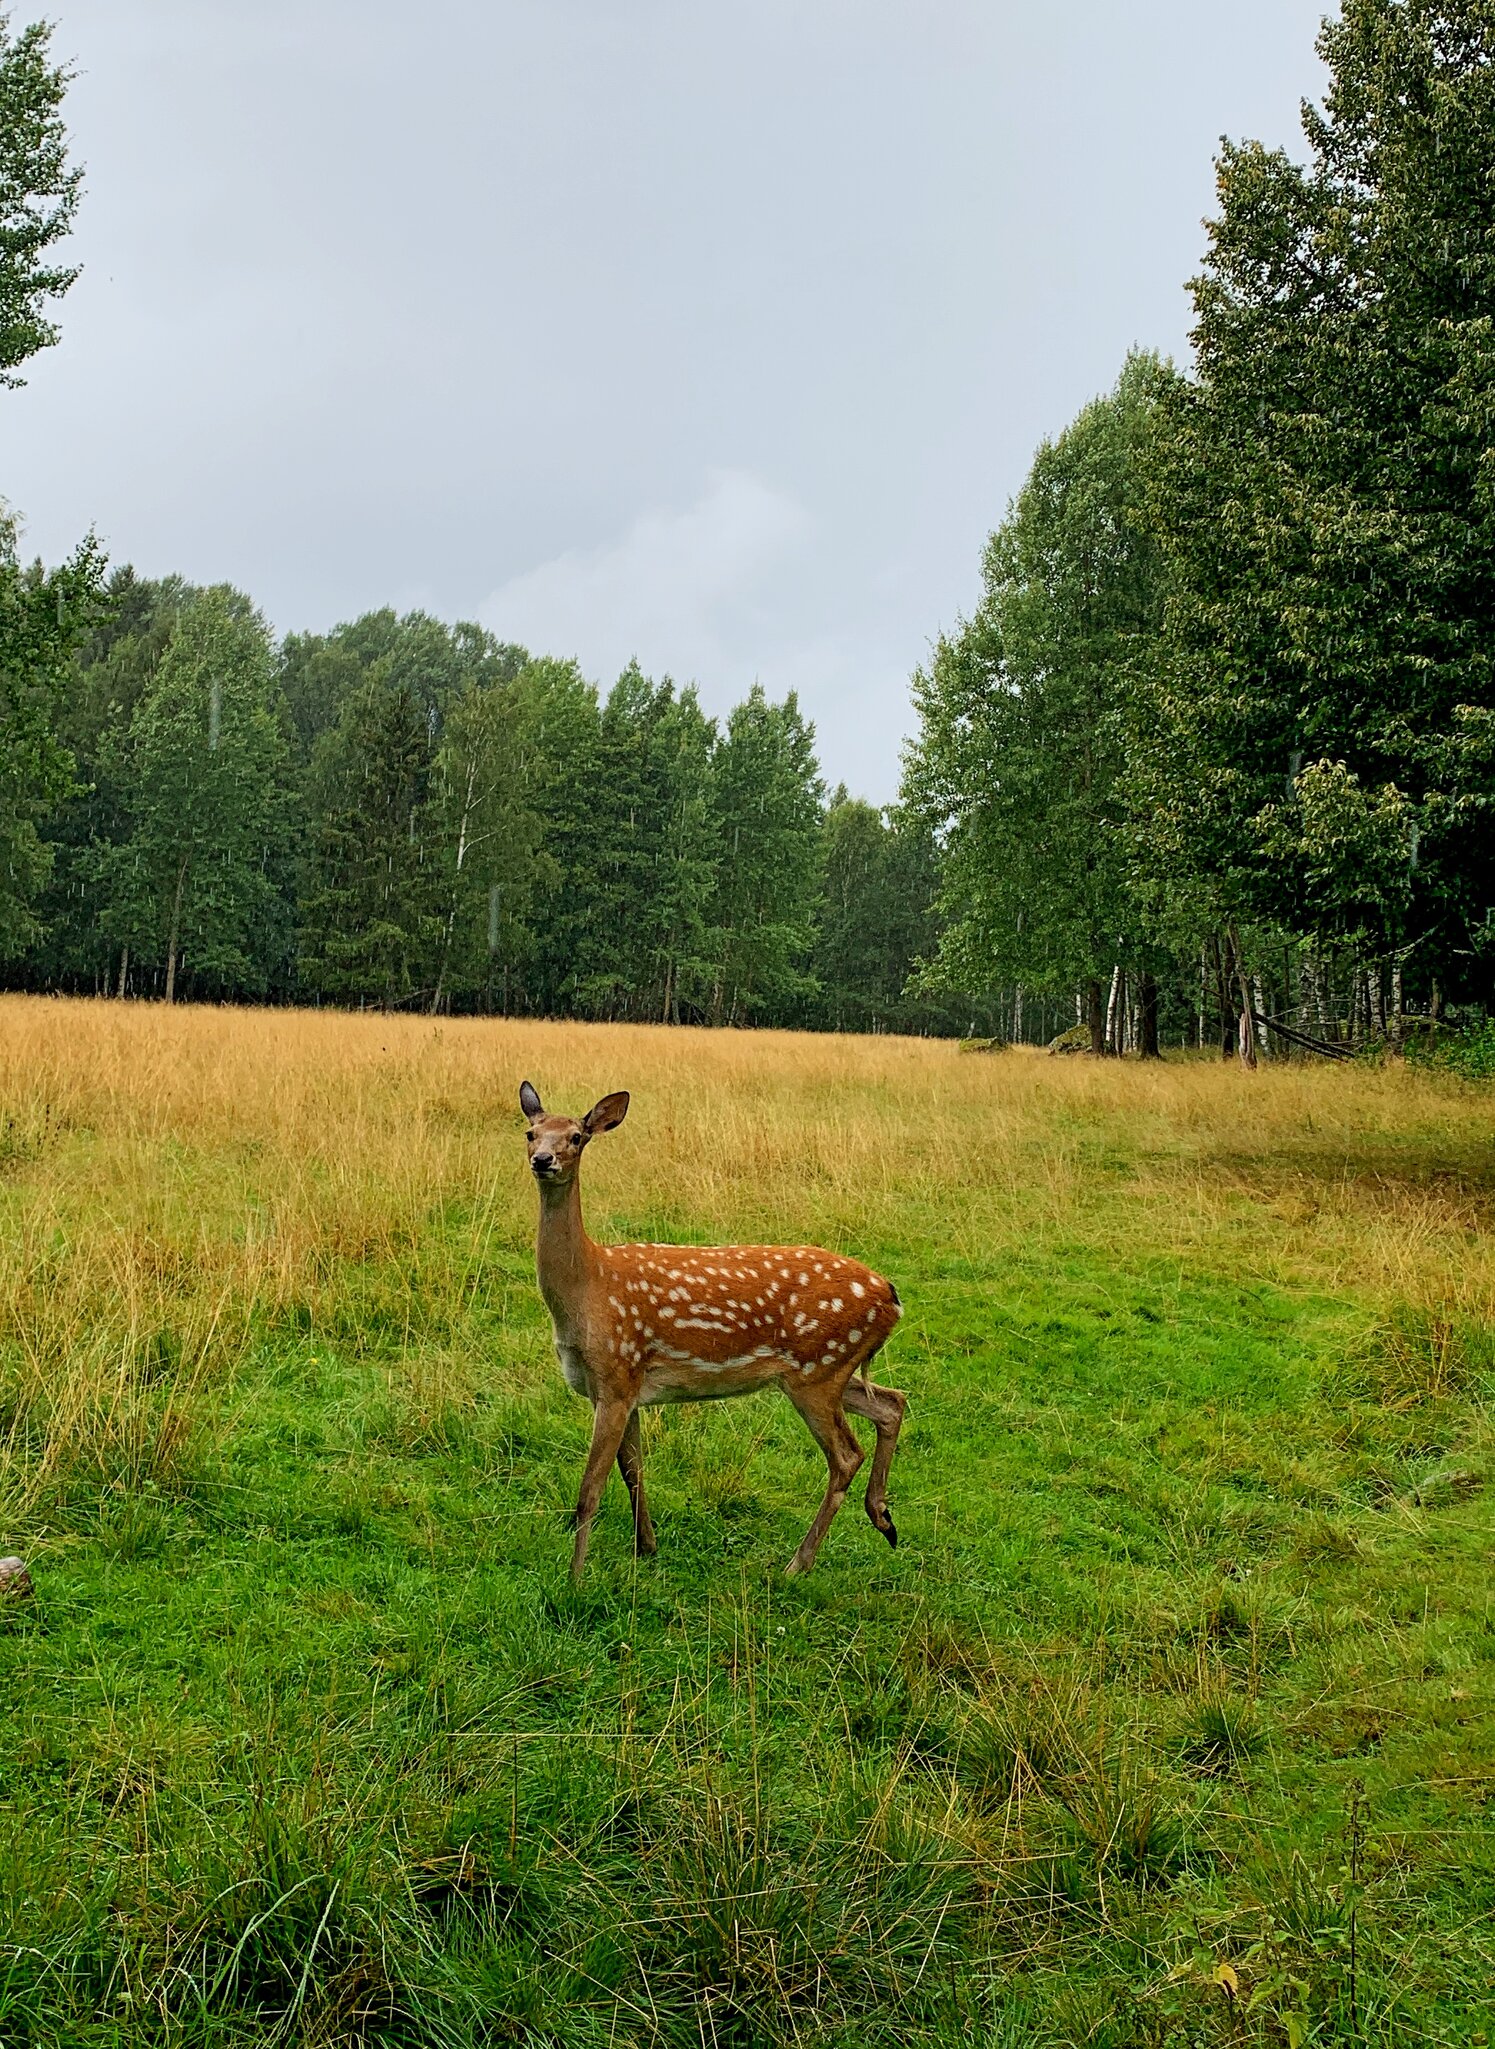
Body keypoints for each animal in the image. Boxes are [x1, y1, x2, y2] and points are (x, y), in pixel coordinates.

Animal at [520, 1081, 907, 1580]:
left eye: (576, 1136)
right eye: (530, 1132)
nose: (542, 1159)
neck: (589, 1286)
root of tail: (892, 1298)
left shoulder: (617, 1372)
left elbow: (590, 1491)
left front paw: (575, 1580)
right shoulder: (625, 1386)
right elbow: (634, 1471)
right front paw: (647, 1548)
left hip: (818, 1371)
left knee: (846, 1455)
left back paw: (797, 1564)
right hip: (828, 1369)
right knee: (893, 1403)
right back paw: (883, 1519)